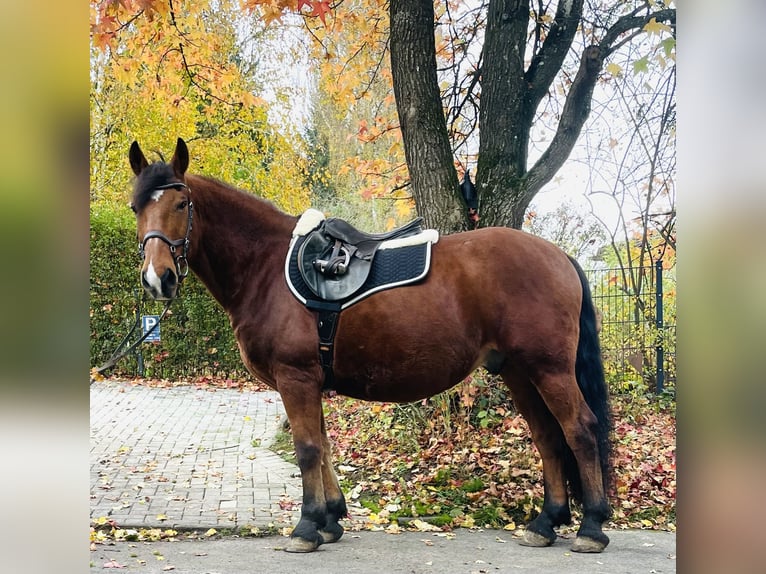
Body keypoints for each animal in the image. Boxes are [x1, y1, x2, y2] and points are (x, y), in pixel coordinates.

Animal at [128, 138, 612, 553]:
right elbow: (323, 445)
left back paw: (591, 527)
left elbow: (307, 449)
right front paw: (330, 519)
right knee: (547, 436)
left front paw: (307, 527)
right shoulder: (309, 381)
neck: (265, 268)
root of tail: (559, 256)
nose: (158, 279)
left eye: (182, 203)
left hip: (549, 369)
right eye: (136, 207)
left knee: (580, 430)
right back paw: (545, 523)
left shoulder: (295, 378)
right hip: (518, 371)